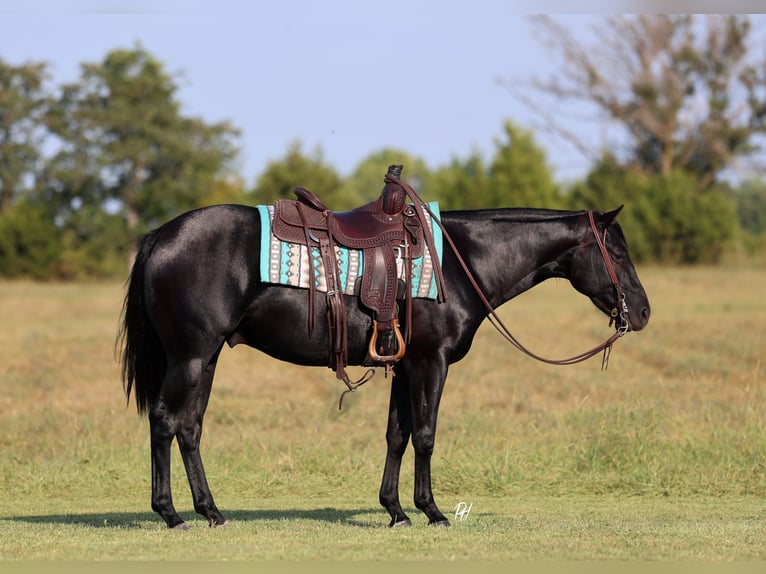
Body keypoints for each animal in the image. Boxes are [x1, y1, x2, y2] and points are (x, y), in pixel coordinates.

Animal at [119, 203, 650, 529]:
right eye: (617, 251)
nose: (643, 313)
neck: (460, 262)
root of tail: (161, 236)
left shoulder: (404, 365)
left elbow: (397, 434)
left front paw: (395, 510)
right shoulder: (431, 363)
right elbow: (426, 435)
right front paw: (432, 510)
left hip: (205, 358)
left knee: (189, 427)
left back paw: (210, 511)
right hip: (189, 357)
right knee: (165, 422)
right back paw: (170, 514)